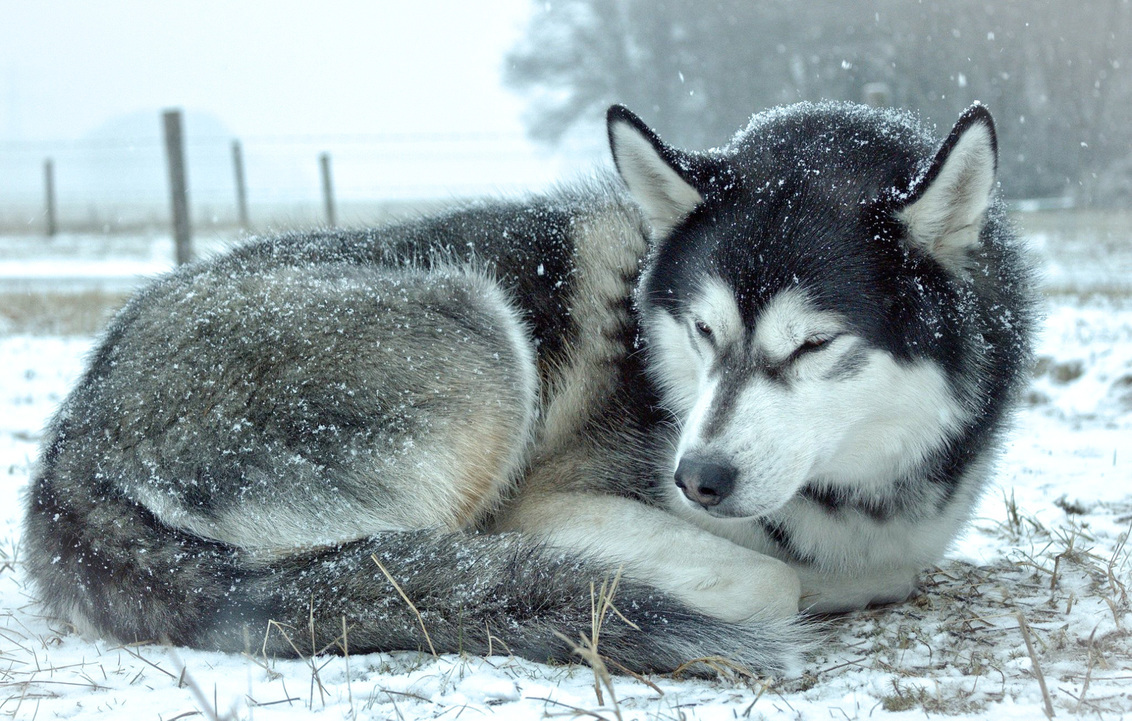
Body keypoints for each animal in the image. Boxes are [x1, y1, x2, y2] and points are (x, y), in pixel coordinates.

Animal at [24, 98, 1036, 670]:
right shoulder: (551, 499)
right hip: (481, 337)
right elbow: (771, 579)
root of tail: (67, 449)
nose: (696, 479)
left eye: (815, 344)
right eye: (704, 332)